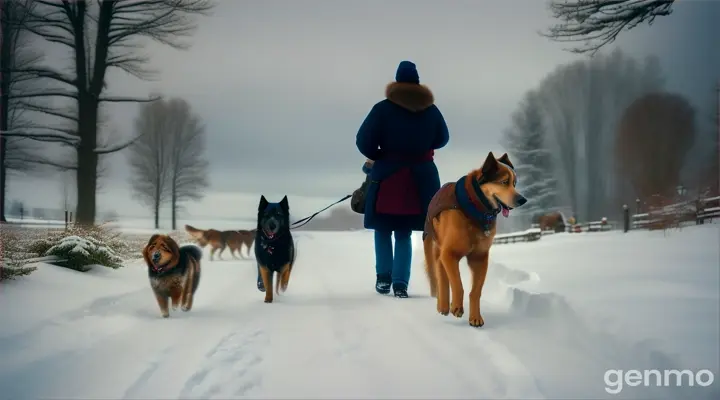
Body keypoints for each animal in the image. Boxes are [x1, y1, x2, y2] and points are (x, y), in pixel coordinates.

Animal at [422, 152, 528, 326]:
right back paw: (443, 305)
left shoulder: (480, 257)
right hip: (433, 246)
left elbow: (476, 291)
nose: (523, 200)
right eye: (504, 182)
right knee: (439, 272)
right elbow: (457, 283)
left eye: (514, 183)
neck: (475, 209)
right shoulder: (449, 254)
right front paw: (457, 307)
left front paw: (475, 317)